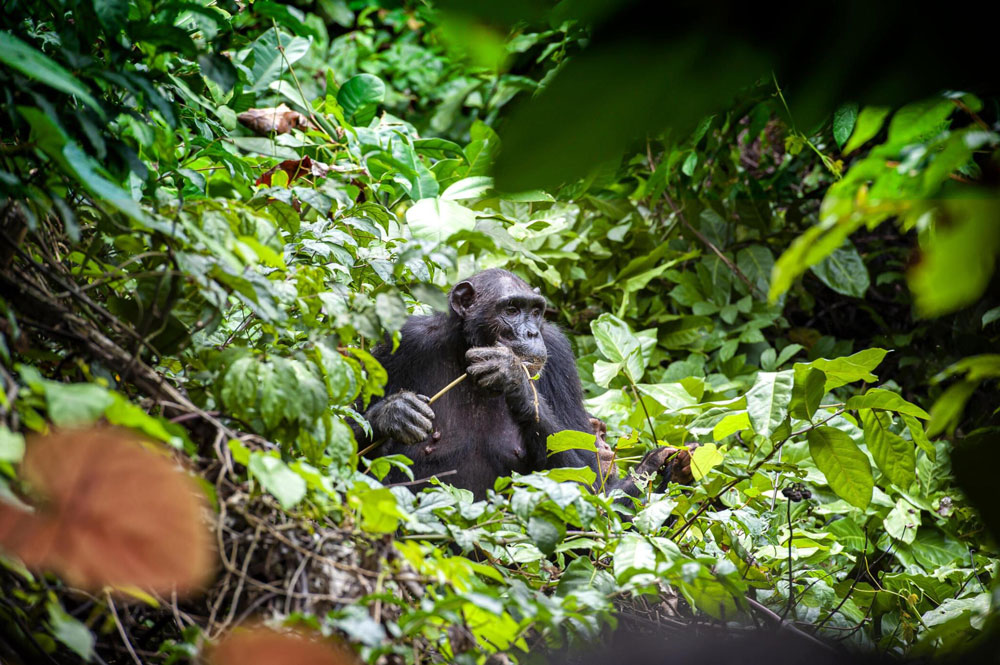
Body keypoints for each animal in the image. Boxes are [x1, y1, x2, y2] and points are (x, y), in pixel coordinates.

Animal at [356, 268, 692, 498]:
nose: (531, 332)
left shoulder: (559, 355)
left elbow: (590, 480)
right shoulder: (400, 343)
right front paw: (394, 413)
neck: (466, 348)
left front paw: (512, 375)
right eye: (511, 309)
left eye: (535, 311)